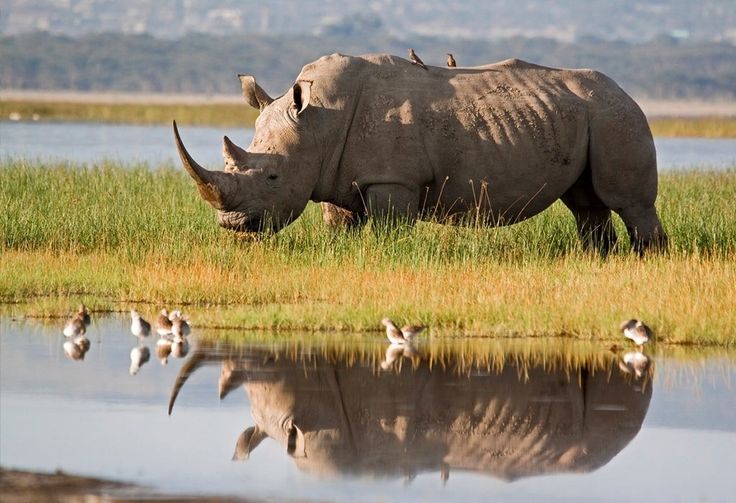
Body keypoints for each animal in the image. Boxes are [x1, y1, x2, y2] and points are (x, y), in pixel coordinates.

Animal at [174, 53, 667, 253]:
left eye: (273, 178)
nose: (233, 226)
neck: (318, 123)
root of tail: (625, 92)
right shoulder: (333, 175)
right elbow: (340, 225)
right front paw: (340, 253)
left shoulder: (393, 180)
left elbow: (389, 230)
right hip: (591, 115)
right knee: (586, 204)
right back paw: (598, 259)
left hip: (616, 115)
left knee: (629, 202)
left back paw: (647, 259)